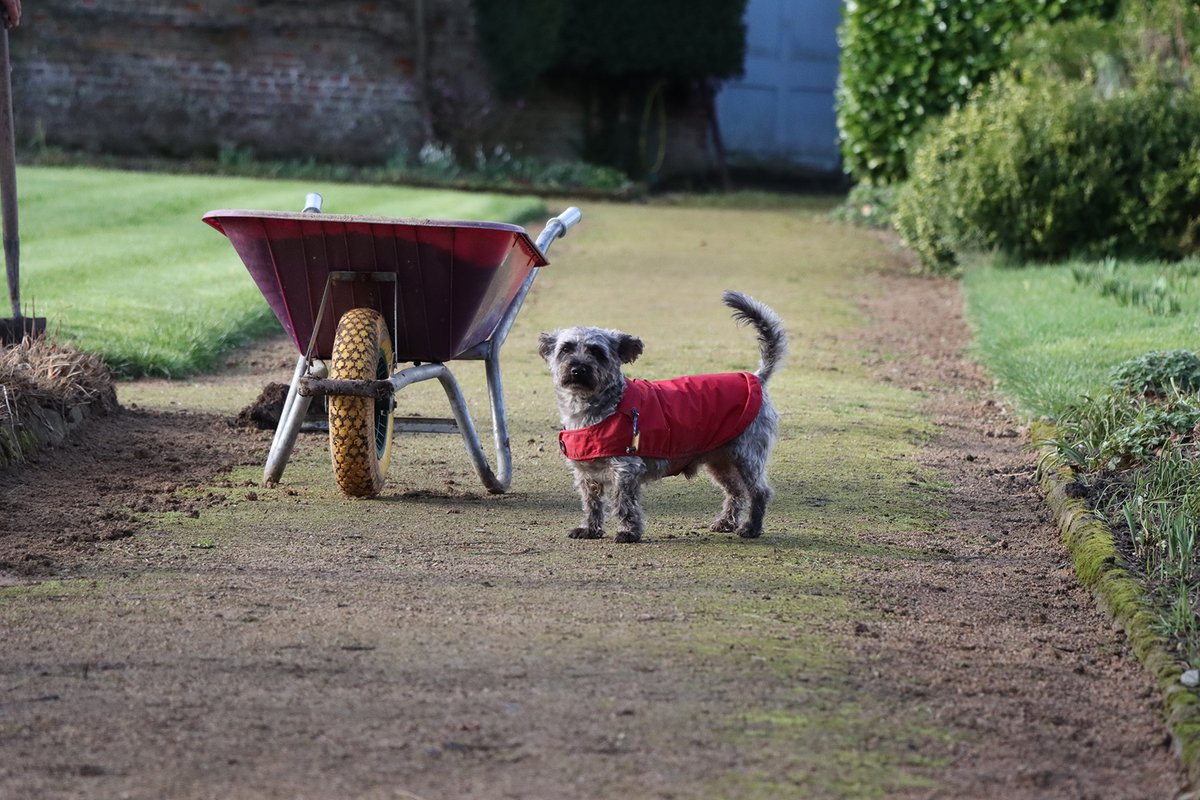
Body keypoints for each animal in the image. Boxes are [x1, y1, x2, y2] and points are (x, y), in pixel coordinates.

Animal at [537, 292, 787, 544]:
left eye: (597, 352)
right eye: (566, 349)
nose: (578, 369)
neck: (599, 407)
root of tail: (756, 378)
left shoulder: (626, 468)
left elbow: (624, 504)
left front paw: (629, 532)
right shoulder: (586, 473)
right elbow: (591, 504)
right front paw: (589, 529)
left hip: (747, 456)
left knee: (759, 491)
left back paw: (752, 527)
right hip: (720, 460)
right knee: (735, 491)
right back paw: (726, 523)